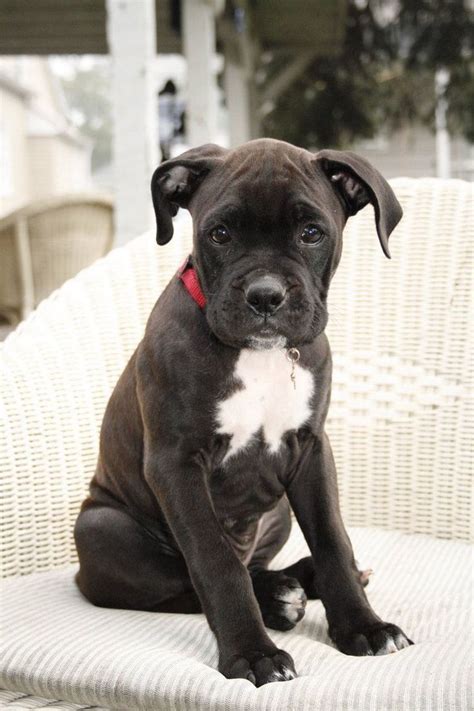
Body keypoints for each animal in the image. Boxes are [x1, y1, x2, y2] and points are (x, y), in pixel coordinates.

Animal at [76, 136, 412, 688]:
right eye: (220, 233)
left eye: (311, 233)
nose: (265, 295)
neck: (261, 356)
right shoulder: (176, 465)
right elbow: (215, 566)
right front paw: (252, 654)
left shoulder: (310, 451)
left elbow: (334, 540)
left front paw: (363, 625)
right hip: (103, 528)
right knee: (183, 585)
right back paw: (277, 601)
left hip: (276, 510)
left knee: (257, 563)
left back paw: (294, 580)